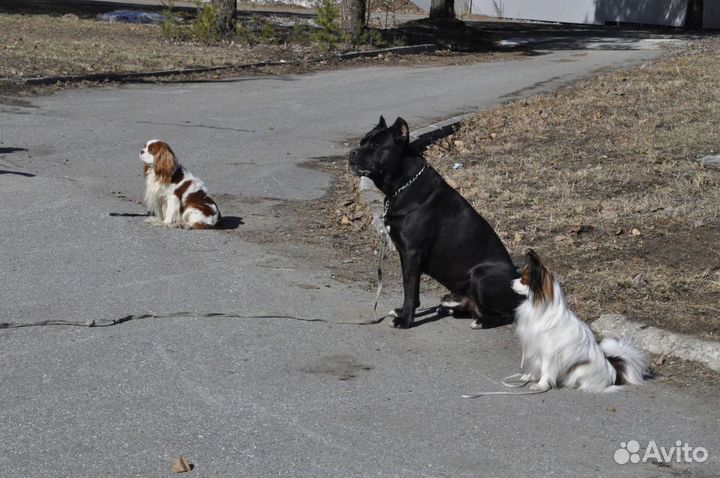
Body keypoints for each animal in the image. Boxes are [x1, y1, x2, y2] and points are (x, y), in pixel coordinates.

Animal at [348, 117, 516, 330]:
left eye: (375, 146)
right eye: (362, 142)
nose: (352, 153)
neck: (403, 184)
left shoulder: (412, 253)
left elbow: (410, 289)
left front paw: (405, 320)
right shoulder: (407, 255)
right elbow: (410, 287)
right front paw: (403, 312)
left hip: (482, 275)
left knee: (509, 315)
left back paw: (481, 321)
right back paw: (450, 309)